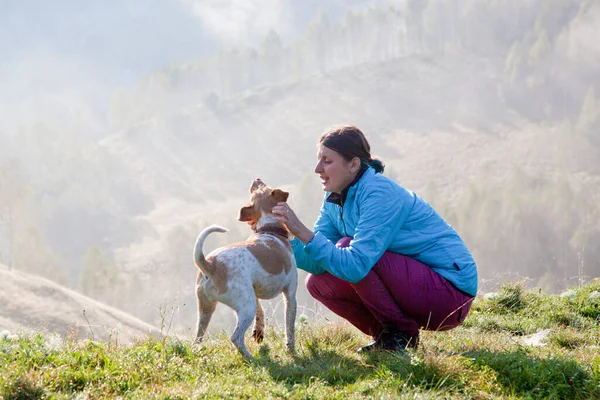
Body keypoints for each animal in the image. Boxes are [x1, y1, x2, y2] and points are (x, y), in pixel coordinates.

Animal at [192, 180, 298, 358]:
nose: (256, 179)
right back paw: (251, 358)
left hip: (206, 308)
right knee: (236, 337)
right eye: (265, 186)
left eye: (258, 188)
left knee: (197, 338)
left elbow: (260, 312)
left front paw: (259, 331)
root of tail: (211, 264)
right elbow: (289, 327)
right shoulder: (290, 294)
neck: (269, 228)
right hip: (246, 307)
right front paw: (291, 350)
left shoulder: (254, 292)